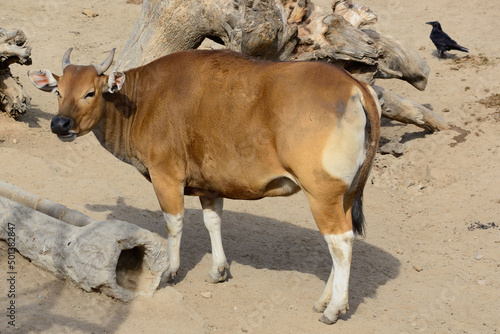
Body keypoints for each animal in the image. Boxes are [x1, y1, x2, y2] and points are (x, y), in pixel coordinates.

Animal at [29, 48, 380, 324]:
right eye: (59, 91)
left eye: (90, 92)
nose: (60, 124)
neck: (142, 100)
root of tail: (356, 86)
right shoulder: (211, 187)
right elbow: (213, 222)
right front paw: (218, 270)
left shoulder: (166, 176)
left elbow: (173, 224)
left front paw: (170, 270)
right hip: (344, 195)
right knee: (344, 239)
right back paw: (326, 300)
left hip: (322, 193)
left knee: (340, 242)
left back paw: (334, 308)